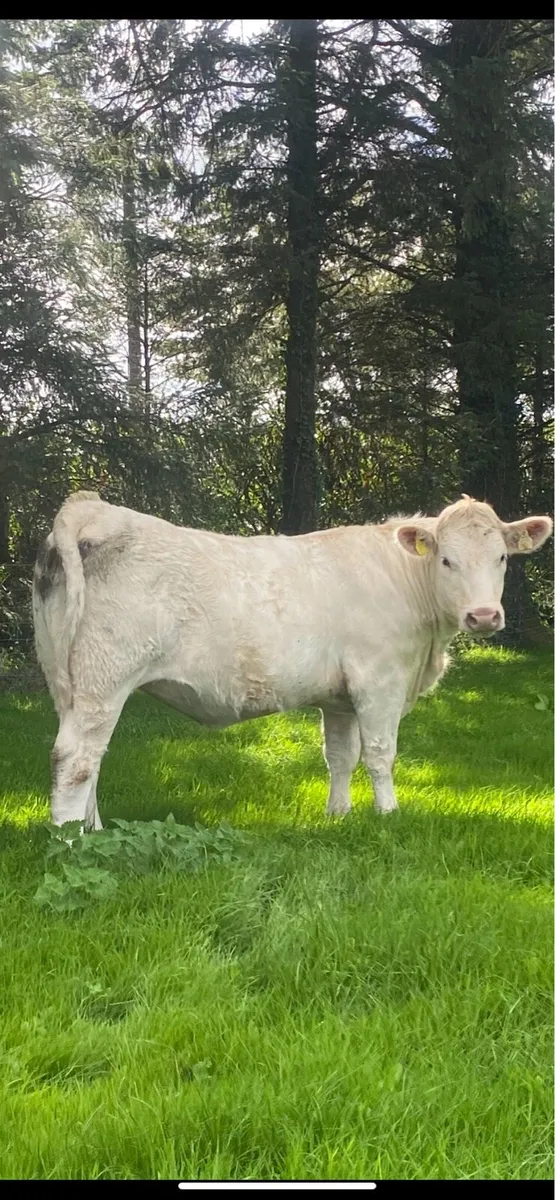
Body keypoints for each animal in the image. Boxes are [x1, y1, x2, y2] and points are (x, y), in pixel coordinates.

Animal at [32, 491, 552, 831]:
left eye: (502, 557)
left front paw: (339, 817)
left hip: (67, 682)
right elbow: (380, 753)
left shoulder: (340, 698)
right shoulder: (379, 681)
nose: (483, 615)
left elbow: (341, 756)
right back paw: (69, 841)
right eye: (446, 560)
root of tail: (93, 508)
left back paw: (94, 830)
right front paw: (388, 816)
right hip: (105, 676)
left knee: (89, 756)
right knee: (75, 758)